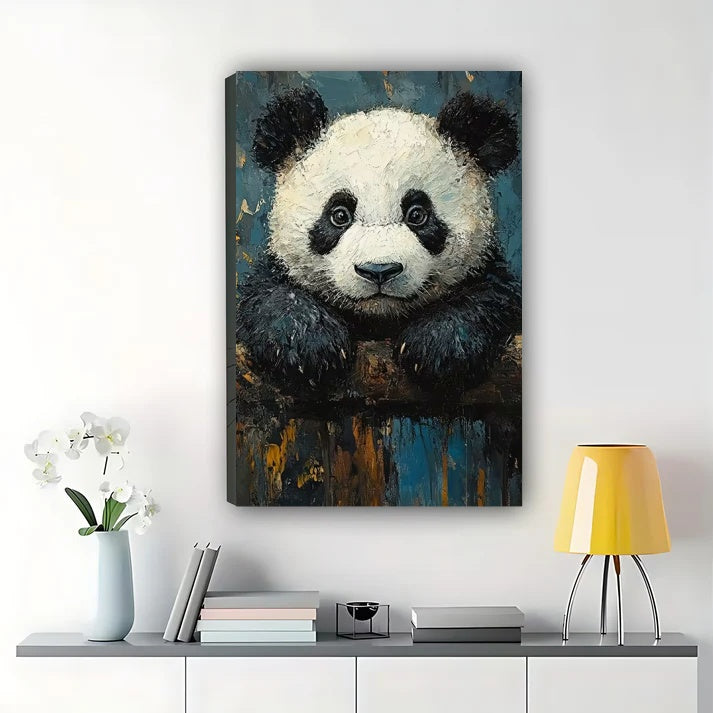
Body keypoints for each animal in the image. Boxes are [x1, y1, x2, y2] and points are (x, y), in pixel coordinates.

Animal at [237, 86, 521, 394]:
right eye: (339, 215)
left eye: (417, 214)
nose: (379, 271)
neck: (378, 320)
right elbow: (269, 294)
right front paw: (307, 346)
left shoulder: (487, 272)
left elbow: (489, 296)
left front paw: (441, 346)